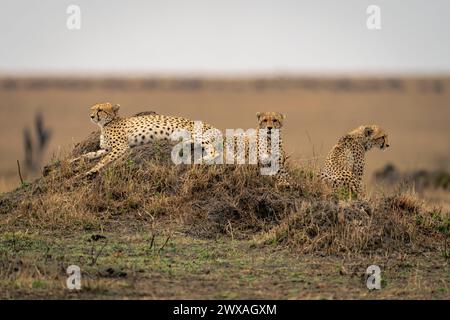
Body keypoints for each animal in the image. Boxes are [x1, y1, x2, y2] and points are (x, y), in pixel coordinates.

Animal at [71, 102, 222, 178]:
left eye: (100, 110)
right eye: (92, 109)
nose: (91, 116)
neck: (107, 123)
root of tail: (215, 127)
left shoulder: (120, 147)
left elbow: (103, 160)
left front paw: (92, 170)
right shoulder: (107, 148)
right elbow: (90, 154)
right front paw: (73, 160)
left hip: (197, 134)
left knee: (214, 151)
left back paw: (202, 159)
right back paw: (184, 144)